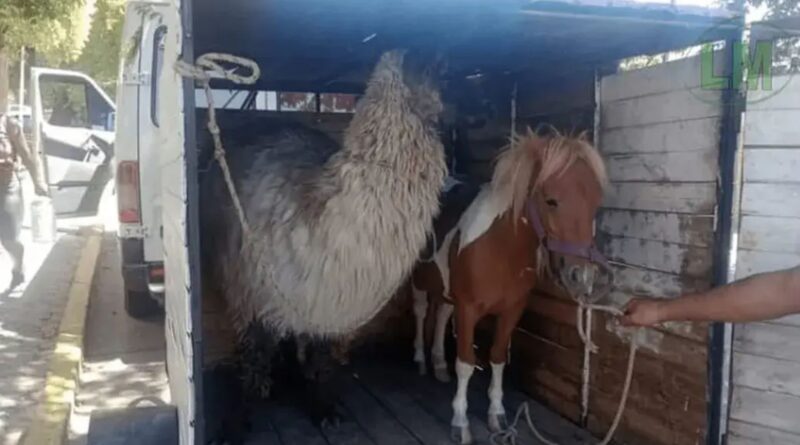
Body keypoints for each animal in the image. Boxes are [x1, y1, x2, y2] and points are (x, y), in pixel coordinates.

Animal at [420, 129, 612, 444]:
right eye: (551, 200)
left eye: (596, 203)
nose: (581, 275)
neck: (500, 248)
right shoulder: (468, 308)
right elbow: (465, 362)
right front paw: (460, 422)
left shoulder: (512, 309)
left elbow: (498, 356)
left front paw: (497, 415)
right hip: (419, 284)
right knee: (421, 312)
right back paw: (419, 359)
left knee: (440, 317)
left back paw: (437, 365)